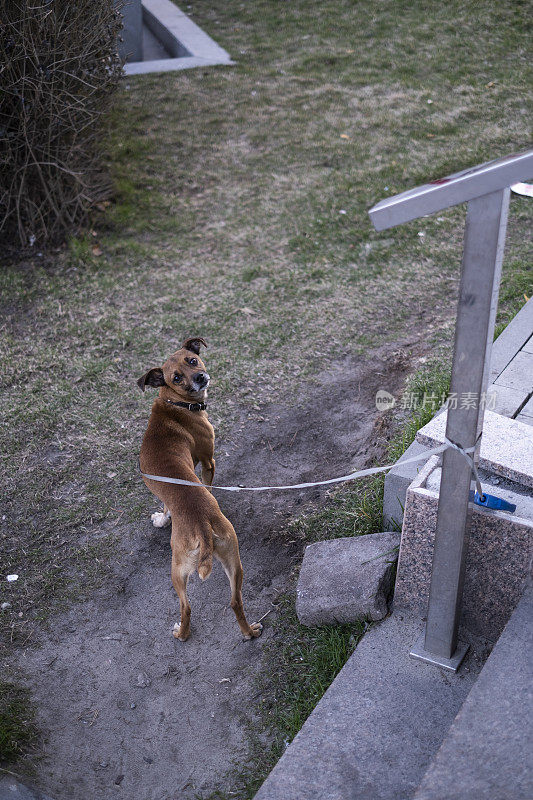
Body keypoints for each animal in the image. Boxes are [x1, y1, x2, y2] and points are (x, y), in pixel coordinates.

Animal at [137, 338, 262, 644]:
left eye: (192, 360)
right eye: (176, 378)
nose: (200, 377)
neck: (173, 402)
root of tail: (203, 529)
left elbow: (166, 505)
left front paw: (162, 518)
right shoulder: (208, 461)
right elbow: (208, 485)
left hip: (202, 567)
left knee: (206, 604)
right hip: (209, 563)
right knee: (216, 604)